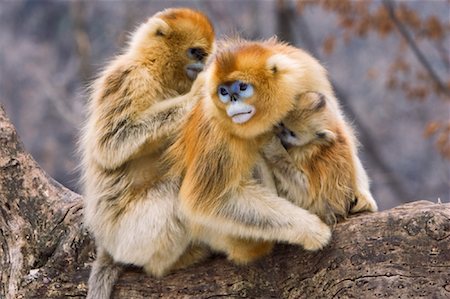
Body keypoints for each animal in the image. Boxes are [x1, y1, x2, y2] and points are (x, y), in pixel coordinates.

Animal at [80, 8, 214, 298]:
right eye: (196, 53)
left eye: (205, 54)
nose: (202, 66)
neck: (154, 69)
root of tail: (107, 245)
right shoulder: (132, 79)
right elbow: (111, 146)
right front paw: (200, 92)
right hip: (130, 236)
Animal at [165, 38, 330, 264]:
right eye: (223, 92)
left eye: (242, 87)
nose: (233, 99)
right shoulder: (214, 123)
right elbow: (206, 201)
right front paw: (311, 229)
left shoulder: (306, 71)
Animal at [262, 89, 378, 225]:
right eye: (282, 124)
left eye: (292, 133)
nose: (281, 133)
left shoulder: (305, 153)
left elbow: (308, 194)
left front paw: (272, 145)